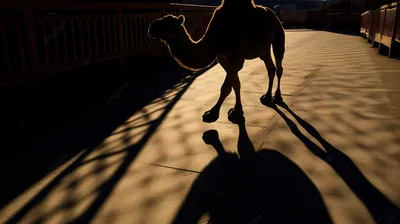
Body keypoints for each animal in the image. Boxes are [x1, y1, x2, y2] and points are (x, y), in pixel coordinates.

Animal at [148, 0, 284, 123]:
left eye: (168, 22)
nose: (151, 27)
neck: (214, 41)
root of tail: (273, 14)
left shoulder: (236, 57)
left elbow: (225, 87)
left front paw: (211, 114)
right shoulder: (222, 58)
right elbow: (236, 84)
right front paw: (237, 111)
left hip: (278, 34)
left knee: (279, 67)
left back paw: (277, 97)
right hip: (263, 50)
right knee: (270, 69)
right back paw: (267, 97)